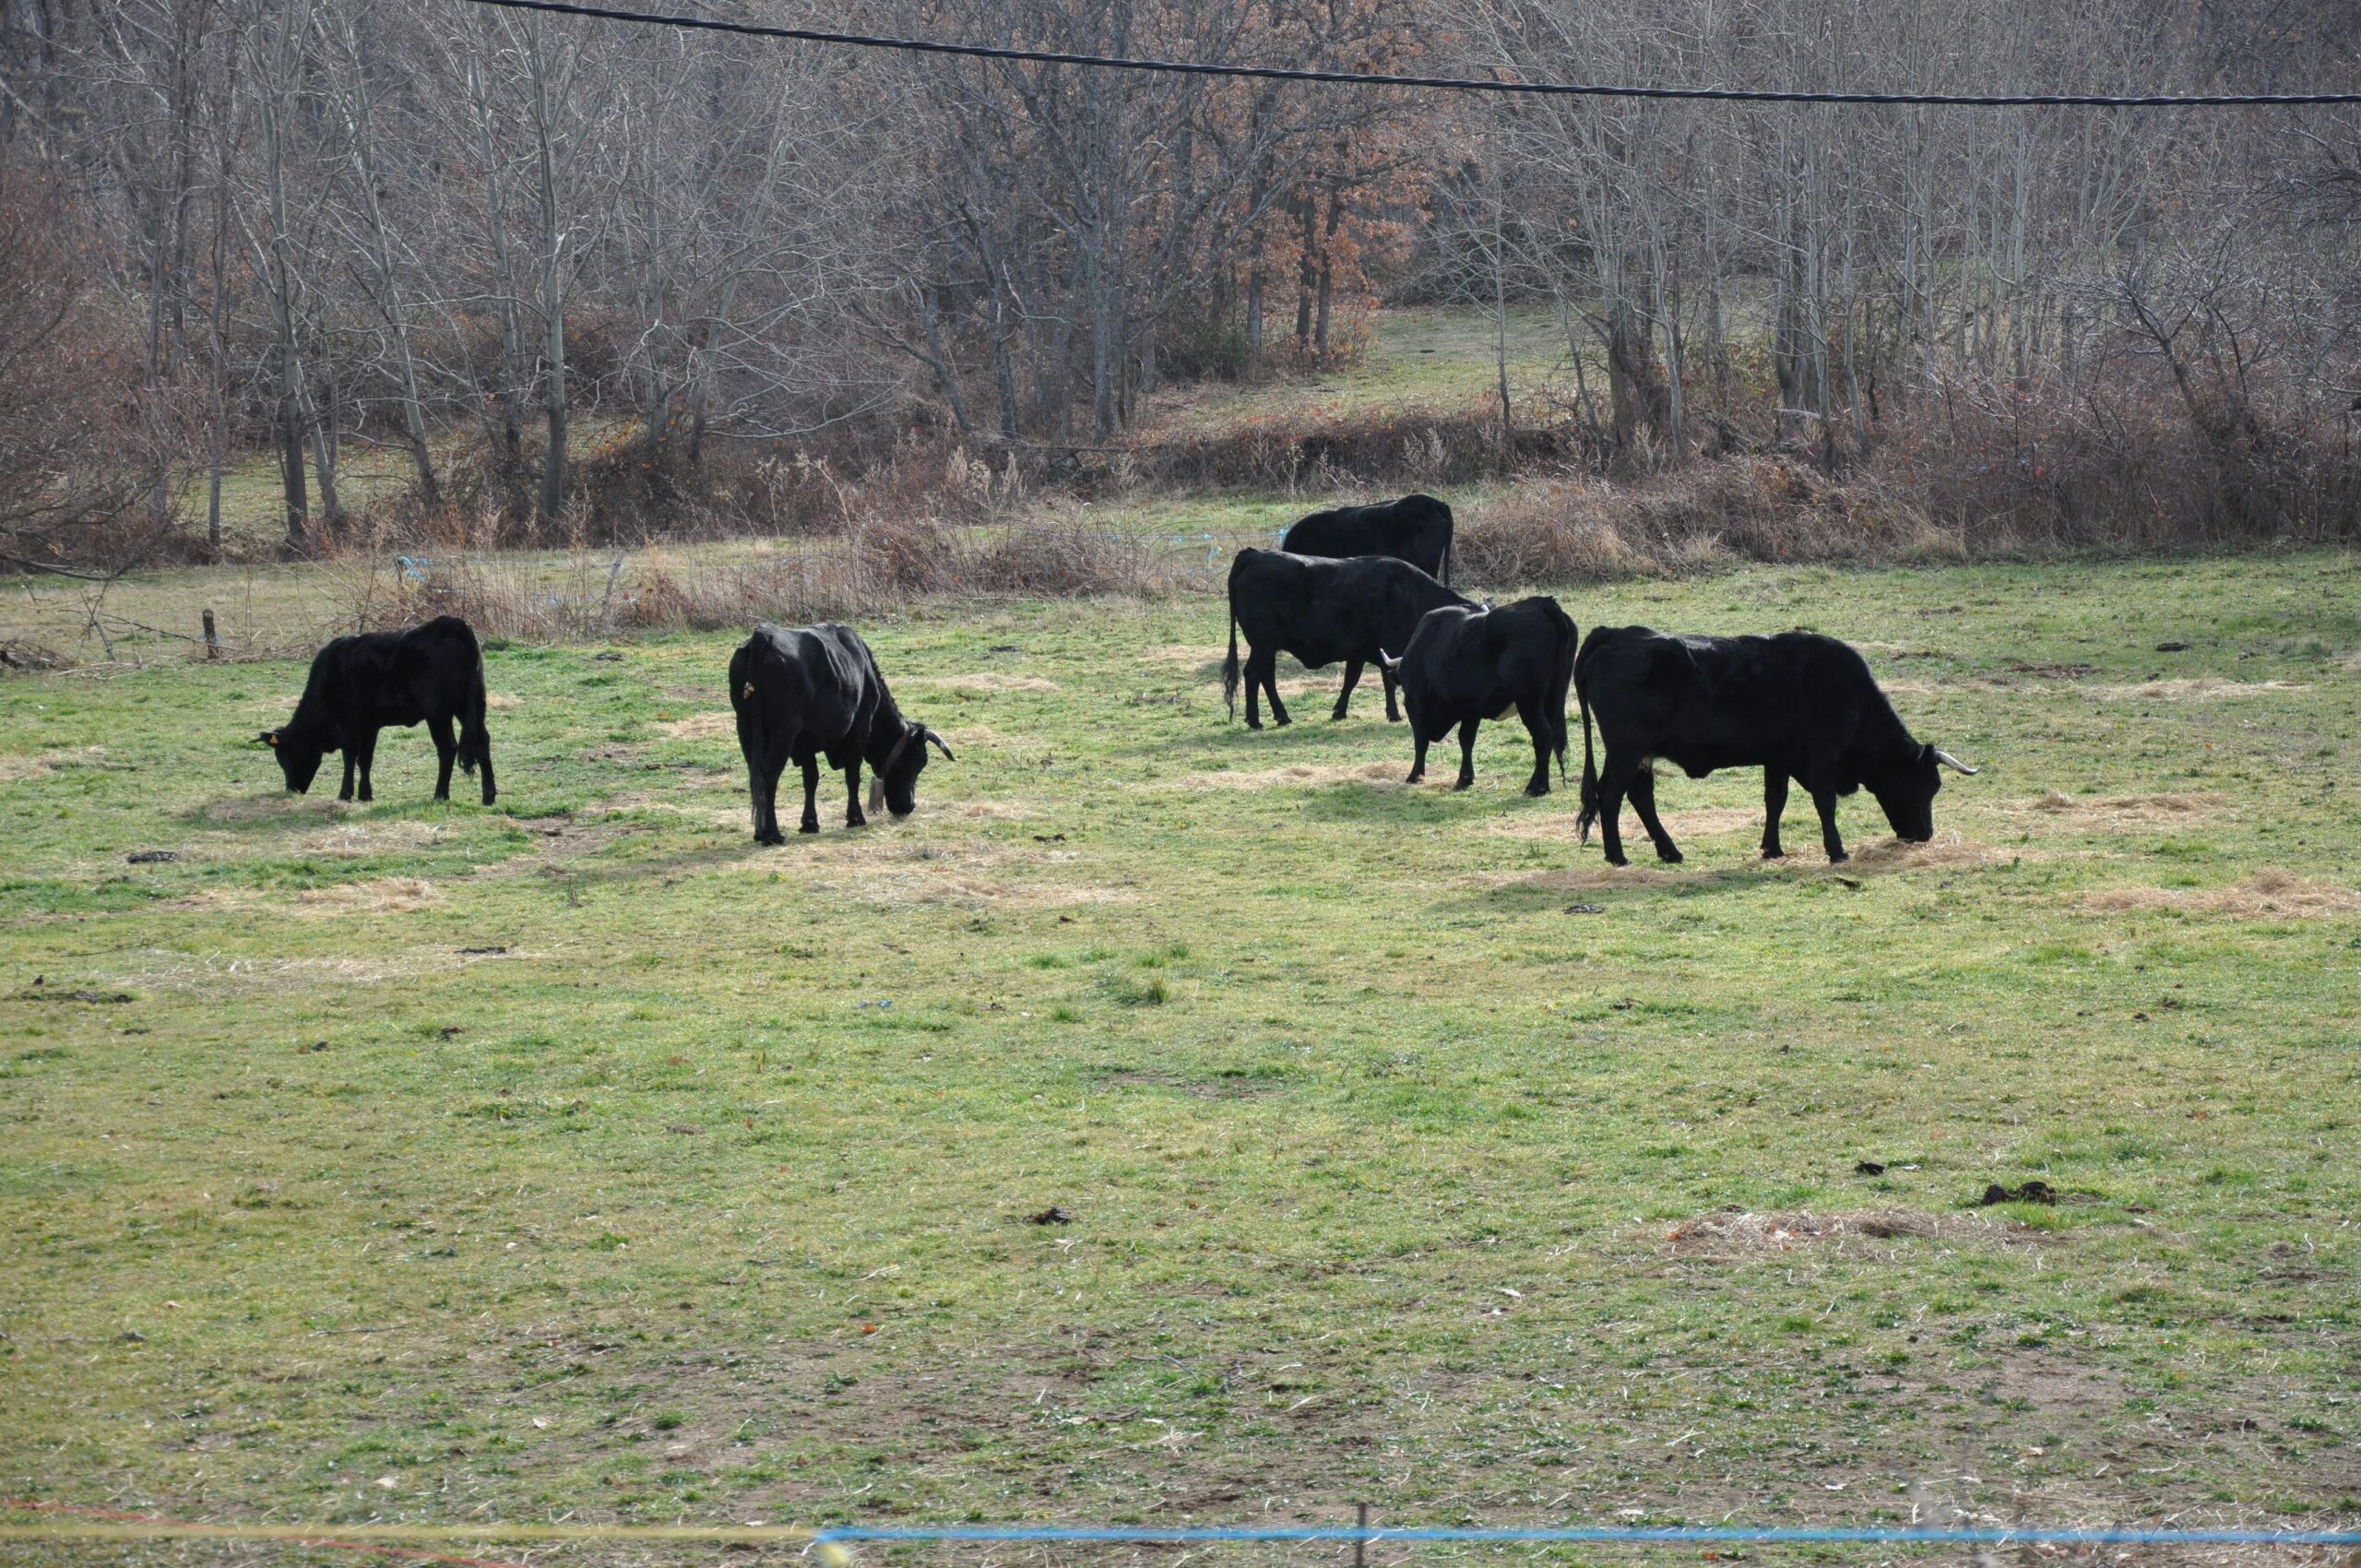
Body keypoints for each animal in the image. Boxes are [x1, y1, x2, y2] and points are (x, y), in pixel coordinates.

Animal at [257, 615, 495, 805]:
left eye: (284, 756)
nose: (292, 789)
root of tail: (453, 624)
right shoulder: (370, 724)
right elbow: (365, 758)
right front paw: (365, 795)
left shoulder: (347, 721)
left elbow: (350, 755)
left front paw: (345, 794)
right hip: (473, 705)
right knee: (482, 742)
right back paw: (488, 796)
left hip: (438, 712)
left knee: (447, 748)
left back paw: (440, 794)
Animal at [728, 622, 954, 842]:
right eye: (919, 762)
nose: (909, 806)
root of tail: (763, 635)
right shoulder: (860, 729)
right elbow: (852, 775)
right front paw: (856, 818)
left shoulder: (805, 740)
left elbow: (811, 778)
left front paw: (809, 823)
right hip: (783, 733)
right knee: (769, 775)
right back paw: (772, 833)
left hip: (745, 728)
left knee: (756, 777)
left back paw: (759, 832)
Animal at [1222, 548, 1470, 728]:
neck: (1409, 595)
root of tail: (1253, 554)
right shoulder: (1386, 647)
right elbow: (1387, 680)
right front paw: (1394, 714)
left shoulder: (1360, 652)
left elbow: (1352, 679)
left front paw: (1340, 711)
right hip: (1263, 644)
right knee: (1252, 674)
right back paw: (1255, 720)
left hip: (1269, 646)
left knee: (1267, 676)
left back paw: (1282, 716)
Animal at [1377, 597, 1577, 795]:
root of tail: (1543, 604)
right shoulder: (1471, 709)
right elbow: (1466, 739)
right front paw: (1465, 778)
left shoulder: (1417, 704)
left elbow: (1421, 740)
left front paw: (1415, 775)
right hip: (1551, 699)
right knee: (1549, 737)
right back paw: (1534, 784)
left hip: (1528, 700)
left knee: (1543, 734)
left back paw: (1539, 787)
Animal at [1572, 626, 1978, 866]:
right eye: (1930, 785)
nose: (1925, 834)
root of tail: (1615, 634)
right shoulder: (1823, 755)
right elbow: (1825, 802)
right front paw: (1837, 851)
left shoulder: (1778, 758)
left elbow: (1775, 801)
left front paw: (1772, 848)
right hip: (1626, 749)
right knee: (1611, 795)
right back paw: (1617, 856)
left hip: (1641, 753)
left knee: (1640, 796)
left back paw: (1670, 851)